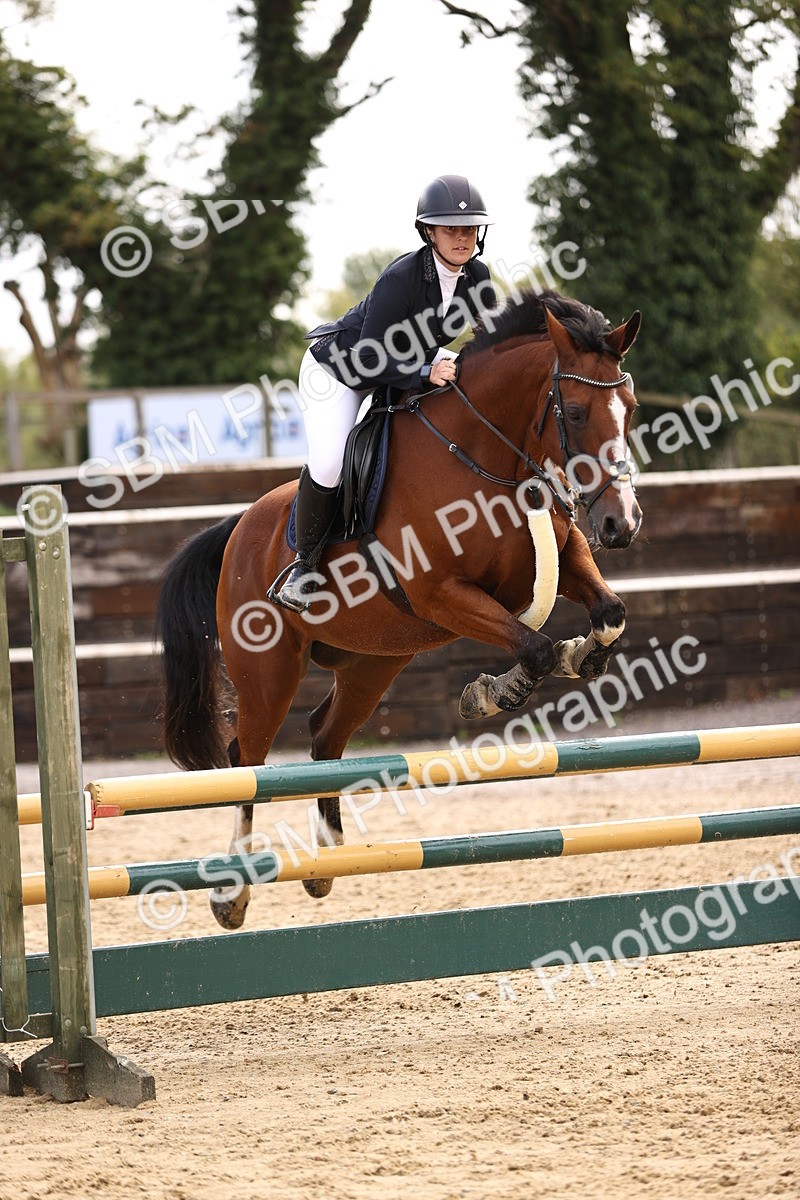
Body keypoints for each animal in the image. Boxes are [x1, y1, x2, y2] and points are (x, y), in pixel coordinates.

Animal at [155, 288, 642, 930]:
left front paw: (578, 656)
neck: (489, 458)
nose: (621, 524)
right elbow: (533, 646)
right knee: (248, 761)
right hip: (268, 673)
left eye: (630, 408)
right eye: (579, 412)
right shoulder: (442, 594)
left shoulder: (565, 555)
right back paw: (230, 895)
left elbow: (608, 614)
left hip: (374, 663)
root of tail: (239, 529)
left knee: (324, 738)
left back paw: (326, 863)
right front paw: (494, 693)